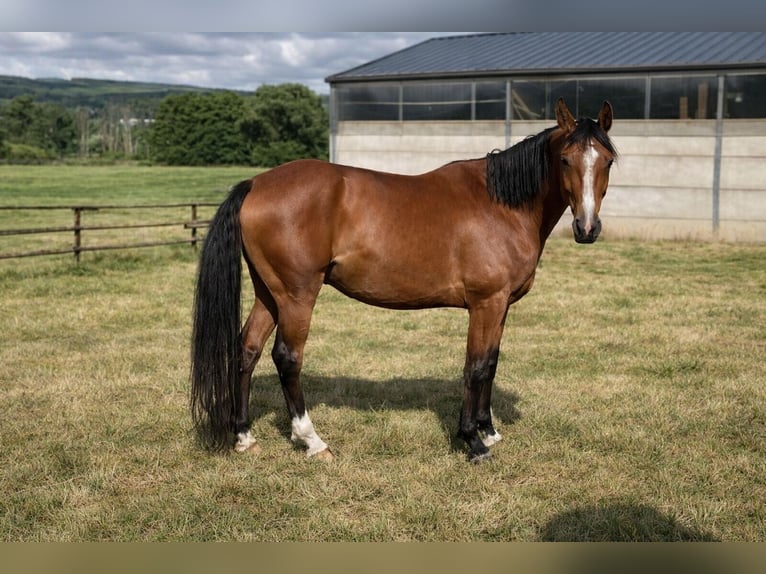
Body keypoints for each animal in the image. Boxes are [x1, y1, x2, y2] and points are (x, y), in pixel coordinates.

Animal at [190, 97, 616, 462]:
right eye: (565, 159)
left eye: (609, 161)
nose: (587, 228)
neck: (502, 205)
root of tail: (256, 184)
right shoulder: (486, 303)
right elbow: (476, 366)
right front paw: (473, 441)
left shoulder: (501, 305)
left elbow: (491, 363)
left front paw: (489, 429)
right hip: (297, 295)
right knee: (287, 357)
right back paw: (313, 441)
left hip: (270, 292)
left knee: (247, 350)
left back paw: (244, 436)